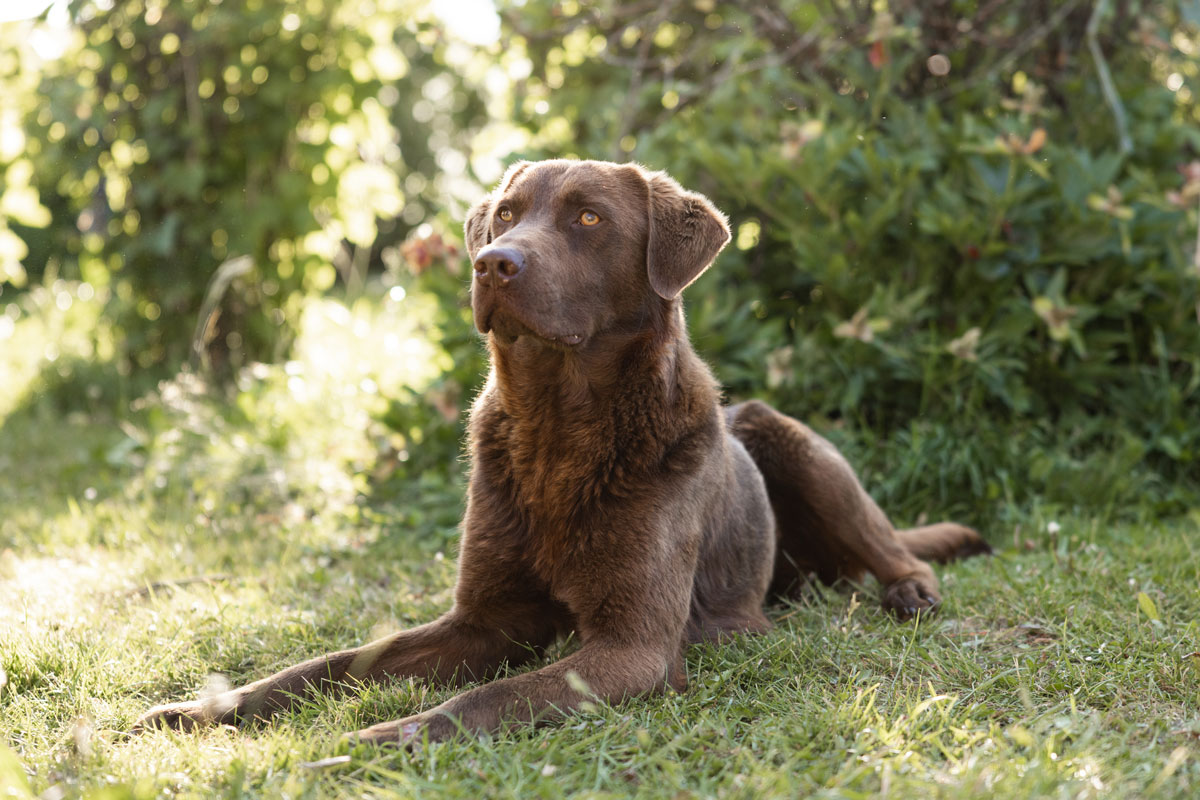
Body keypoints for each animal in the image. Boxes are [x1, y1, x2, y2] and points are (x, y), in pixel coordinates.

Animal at [136, 160, 988, 743]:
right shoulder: (481, 621)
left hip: (794, 442)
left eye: (587, 219)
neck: (557, 432)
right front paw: (200, 708)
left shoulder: (632, 648)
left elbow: (487, 698)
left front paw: (388, 735)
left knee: (890, 546)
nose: (493, 262)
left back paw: (911, 592)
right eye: (506, 214)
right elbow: (331, 664)